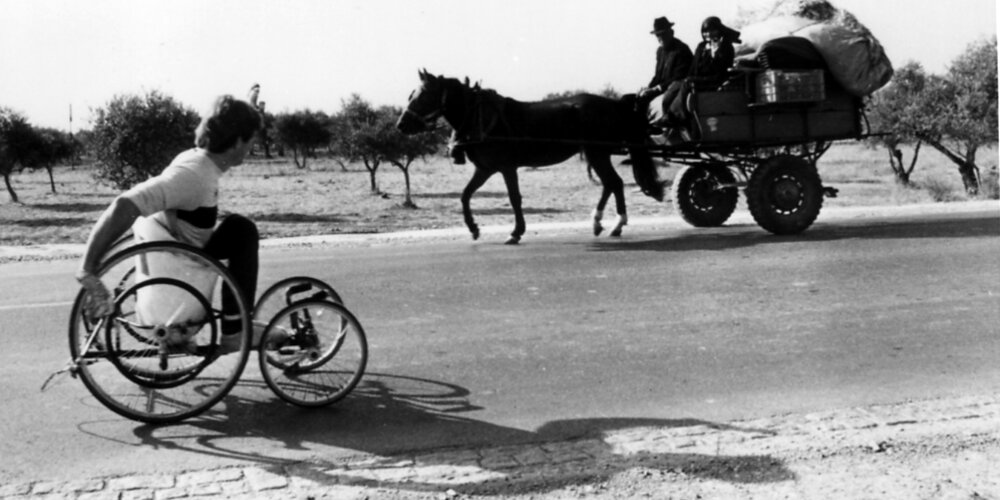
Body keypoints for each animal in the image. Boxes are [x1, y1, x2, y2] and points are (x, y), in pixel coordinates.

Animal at [396, 68, 664, 244]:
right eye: (411, 94)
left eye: (423, 95)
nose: (400, 125)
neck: (479, 116)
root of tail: (615, 104)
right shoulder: (485, 168)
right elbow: (465, 195)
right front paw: (473, 229)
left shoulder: (506, 168)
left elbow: (514, 198)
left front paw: (516, 232)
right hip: (595, 153)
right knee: (610, 183)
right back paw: (600, 223)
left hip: (598, 152)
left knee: (614, 183)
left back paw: (617, 223)